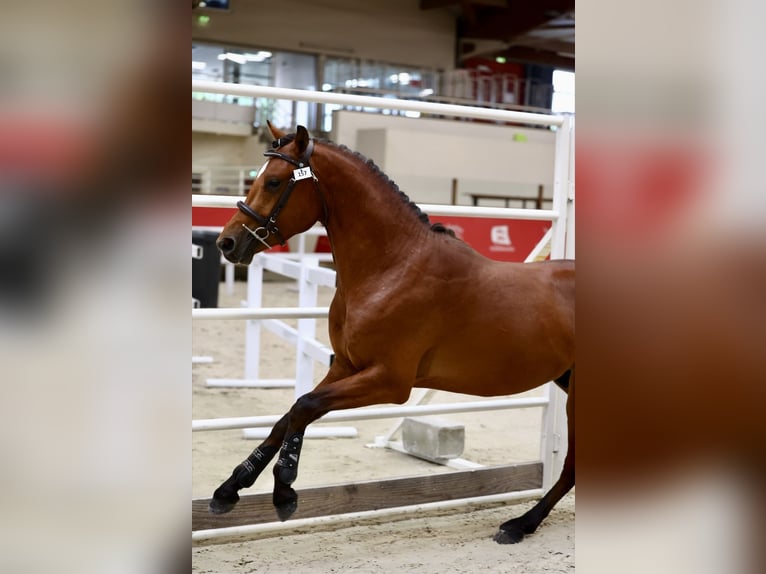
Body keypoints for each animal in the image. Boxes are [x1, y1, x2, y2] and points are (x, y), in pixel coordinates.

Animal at [211, 122, 575, 544]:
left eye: (273, 181)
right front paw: (230, 488)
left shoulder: (389, 381)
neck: (394, 268)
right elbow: (290, 414)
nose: (227, 242)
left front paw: (284, 488)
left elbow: (304, 406)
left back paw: (520, 524)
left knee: (572, 466)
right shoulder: (345, 367)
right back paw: (523, 522)